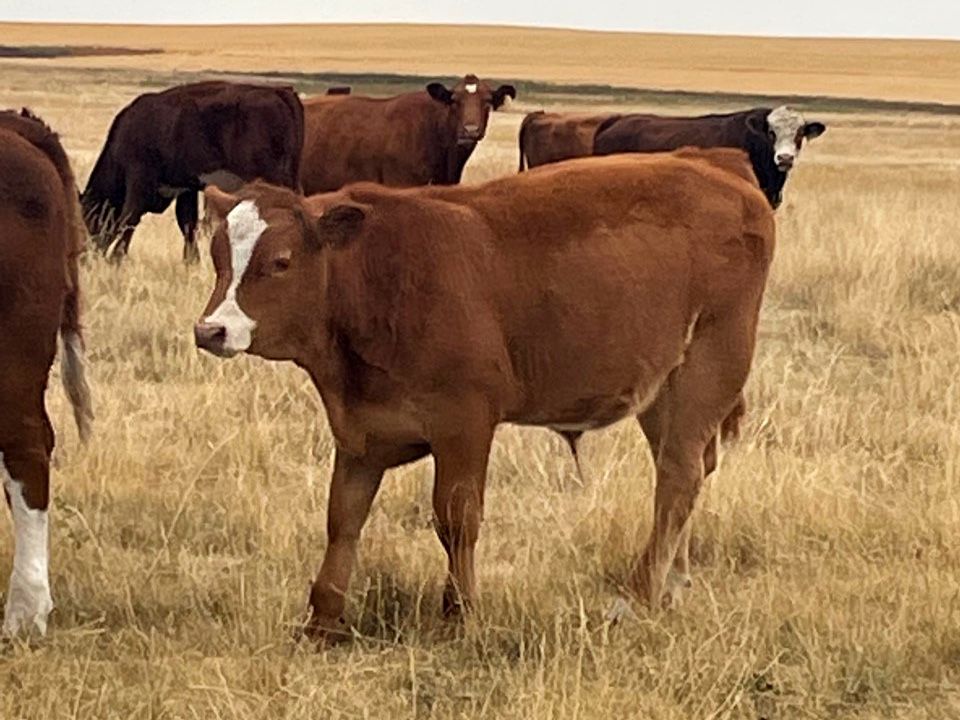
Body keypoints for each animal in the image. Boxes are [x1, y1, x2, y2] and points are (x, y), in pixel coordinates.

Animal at [81, 80, 304, 264]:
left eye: (86, 216)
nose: (84, 255)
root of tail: (279, 92)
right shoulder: (186, 187)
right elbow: (187, 223)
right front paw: (191, 261)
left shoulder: (139, 178)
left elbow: (129, 218)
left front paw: (116, 258)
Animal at [193, 148, 775, 640]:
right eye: (219, 256)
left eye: (280, 261)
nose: (211, 330)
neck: (377, 277)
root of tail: (718, 165)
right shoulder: (361, 433)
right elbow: (343, 519)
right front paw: (323, 620)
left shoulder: (465, 423)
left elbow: (456, 520)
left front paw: (460, 612)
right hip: (661, 388)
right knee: (683, 472)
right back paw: (671, 583)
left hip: (709, 366)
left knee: (679, 477)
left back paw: (637, 594)